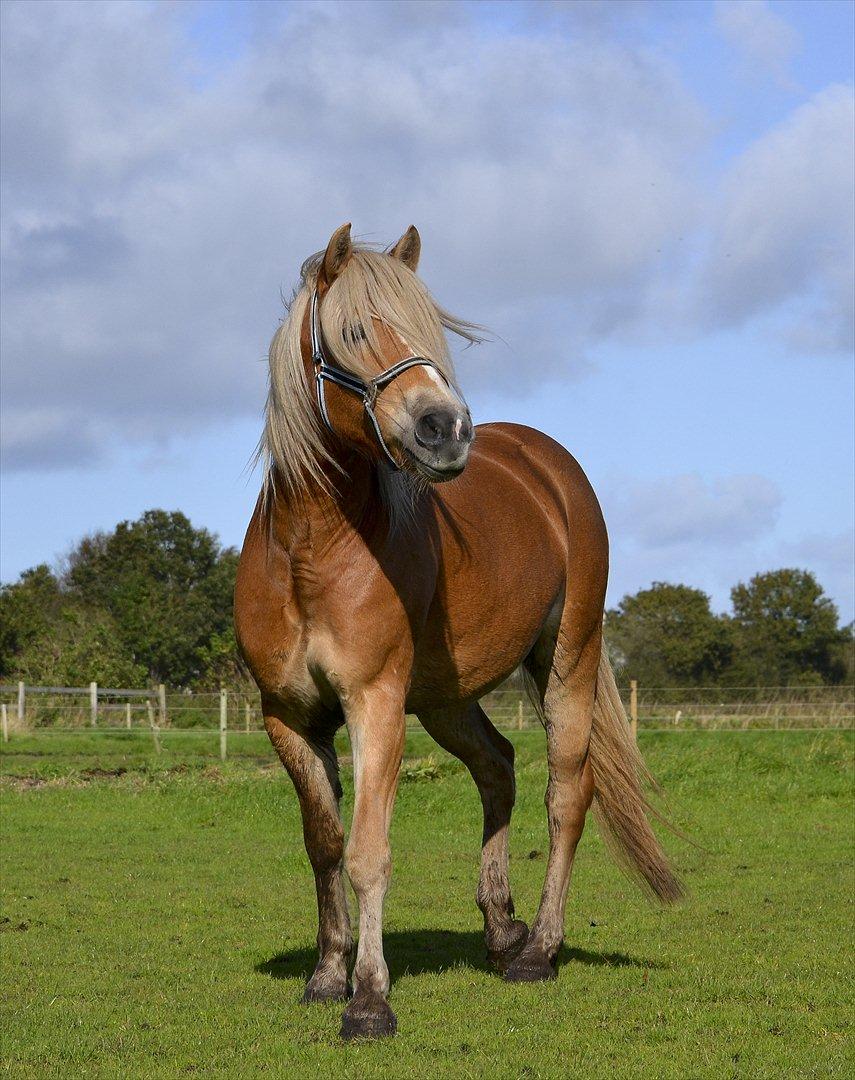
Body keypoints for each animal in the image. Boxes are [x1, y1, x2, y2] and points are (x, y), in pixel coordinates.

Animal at [235, 223, 682, 1041]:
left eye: (429, 329)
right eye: (354, 331)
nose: (445, 429)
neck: (312, 553)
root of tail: (547, 463)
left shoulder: (376, 705)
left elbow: (368, 851)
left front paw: (369, 999)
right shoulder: (287, 716)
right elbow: (324, 843)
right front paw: (327, 975)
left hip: (566, 660)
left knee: (566, 793)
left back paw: (538, 949)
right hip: (446, 699)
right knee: (498, 767)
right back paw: (501, 930)